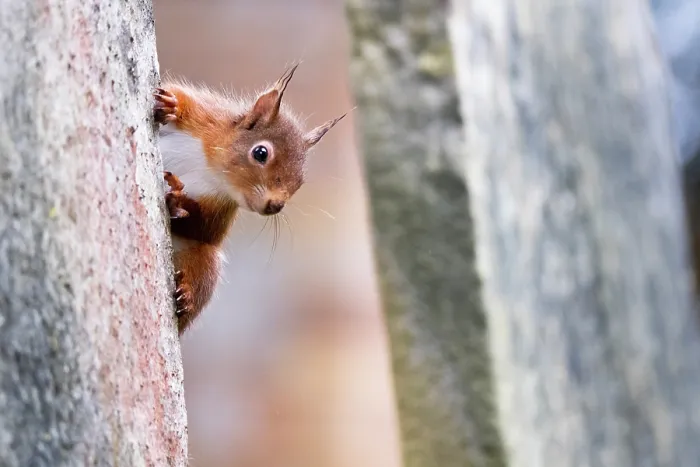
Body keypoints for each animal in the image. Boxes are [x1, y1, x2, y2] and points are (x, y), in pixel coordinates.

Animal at [152, 64, 347, 335]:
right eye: (261, 152)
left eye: (300, 181)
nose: (275, 205)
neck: (213, 168)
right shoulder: (205, 117)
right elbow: (181, 99)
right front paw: (171, 105)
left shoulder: (220, 205)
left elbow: (206, 232)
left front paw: (179, 203)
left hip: (205, 263)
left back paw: (186, 297)